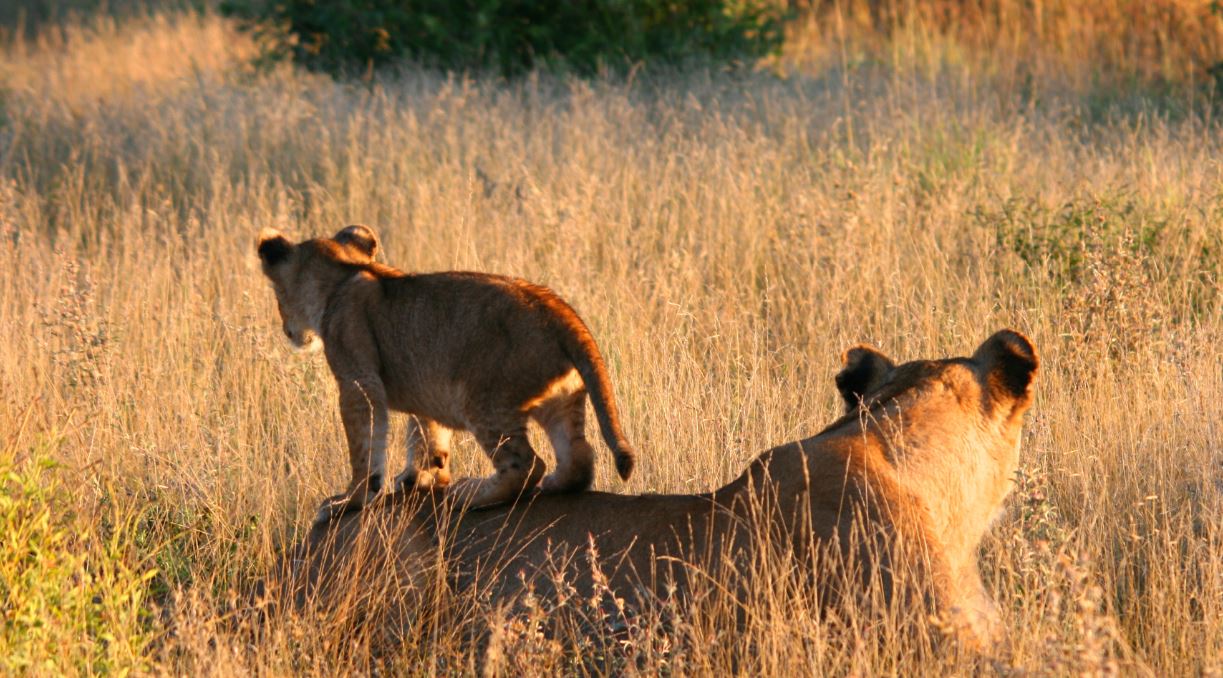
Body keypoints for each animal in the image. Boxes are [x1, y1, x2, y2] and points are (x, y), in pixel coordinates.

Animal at [256, 225, 635, 525]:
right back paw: (554, 483)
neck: (344, 275)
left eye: (276, 296)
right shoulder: (427, 384)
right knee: (580, 458)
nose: (287, 331)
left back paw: (471, 496)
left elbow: (365, 446)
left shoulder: (358, 380)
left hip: (485, 400)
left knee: (527, 464)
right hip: (561, 397)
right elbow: (427, 433)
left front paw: (350, 500)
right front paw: (421, 478)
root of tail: (558, 309)